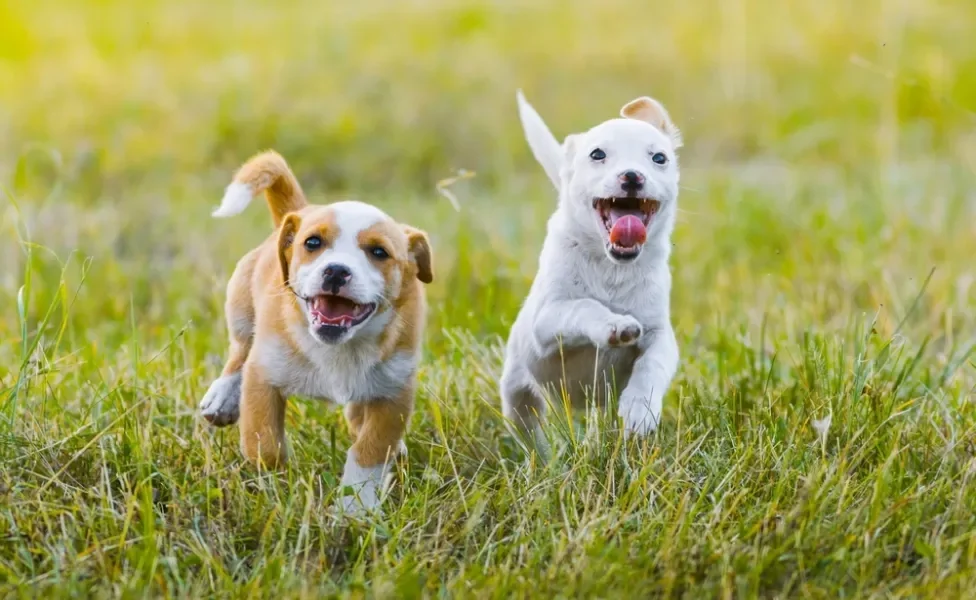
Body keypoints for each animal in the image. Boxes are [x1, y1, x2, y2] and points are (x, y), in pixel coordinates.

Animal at [200, 150, 432, 510]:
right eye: (313, 243)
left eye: (379, 252)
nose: (335, 270)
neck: (339, 348)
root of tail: (301, 209)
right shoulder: (263, 376)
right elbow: (264, 443)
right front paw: (277, 488)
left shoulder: (393, 393)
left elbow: (370, 451)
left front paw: (356, 508)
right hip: (240, 308)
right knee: (238, 351)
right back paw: (222, 396)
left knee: (357, 415)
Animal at [500, 89, 684, 446]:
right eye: (597, 154)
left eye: (659, 158)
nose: (632, 175)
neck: (613, 268)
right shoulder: (547, 320)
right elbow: (584, 306)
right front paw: (614, 324)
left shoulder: (661, 335)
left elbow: (652, 364)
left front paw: (640, 410)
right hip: (517, 393)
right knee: (528, 428)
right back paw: (543, 455)